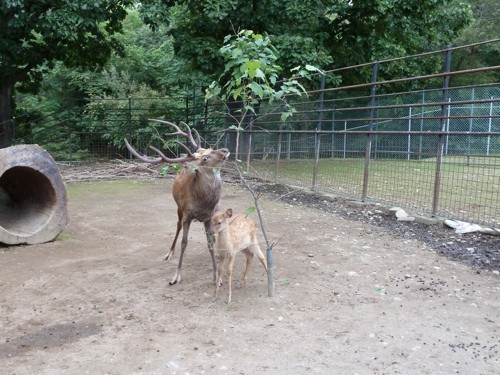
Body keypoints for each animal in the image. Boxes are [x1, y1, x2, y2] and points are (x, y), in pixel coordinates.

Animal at [125, 120, 230, 284]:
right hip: (179, 208)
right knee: (178, 225)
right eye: (205, 158)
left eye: (211, 148)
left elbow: (210, 243)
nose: (225, 150)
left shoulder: (209, 217)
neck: (203, 204)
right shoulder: (187, 214)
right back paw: (169, 253)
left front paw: (217, 277)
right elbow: (184, 242)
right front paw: (176, 276)